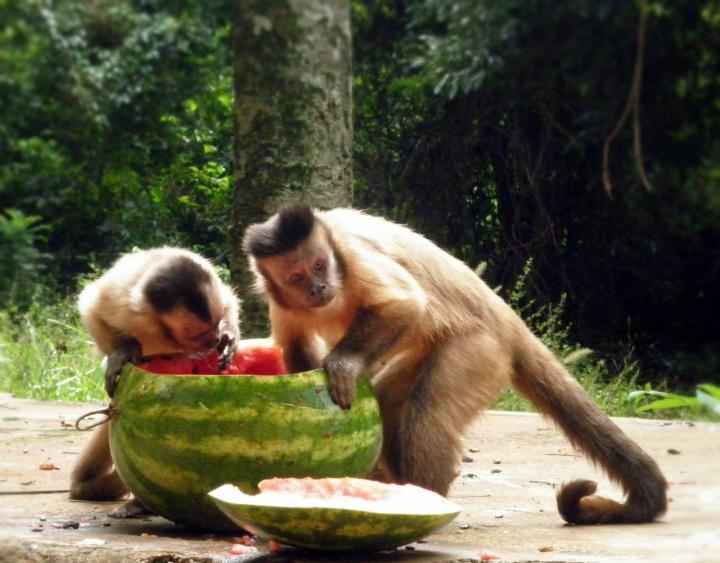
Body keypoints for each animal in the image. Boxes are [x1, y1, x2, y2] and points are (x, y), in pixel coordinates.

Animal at [69, 249, 242, 516]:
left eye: (215, 324)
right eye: (198, 335)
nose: (214, 340)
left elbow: (230, 300)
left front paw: (230, 335)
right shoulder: (124, 306)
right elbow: (92, 311)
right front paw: (123, 353)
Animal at [243, 205, 668, 528]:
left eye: (320, 264)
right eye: (298, 276)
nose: (318, 288)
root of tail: (503, 315)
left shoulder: (352, 255)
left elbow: (404, 304)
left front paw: (343, 364)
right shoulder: (279, 297)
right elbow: (296, 350)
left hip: (481, 351)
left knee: (428, 411)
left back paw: (423, 499)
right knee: (390, 400)